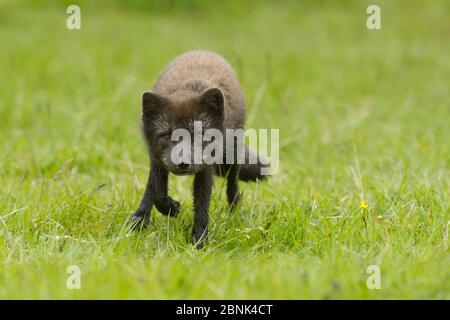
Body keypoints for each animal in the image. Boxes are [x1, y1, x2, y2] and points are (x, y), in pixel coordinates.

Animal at [129, 50, 268, 248]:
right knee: (149, 191)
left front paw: (200, 241)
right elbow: (157, 192)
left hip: (232, 152)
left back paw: (234, 211)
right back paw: (138, 222)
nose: (183, 164)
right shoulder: (157, 160)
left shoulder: (206, 168)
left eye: (199, 134)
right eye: (166, 136)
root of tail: (204, 51)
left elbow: (202, 205)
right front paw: (171, 208)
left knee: (233, 183)